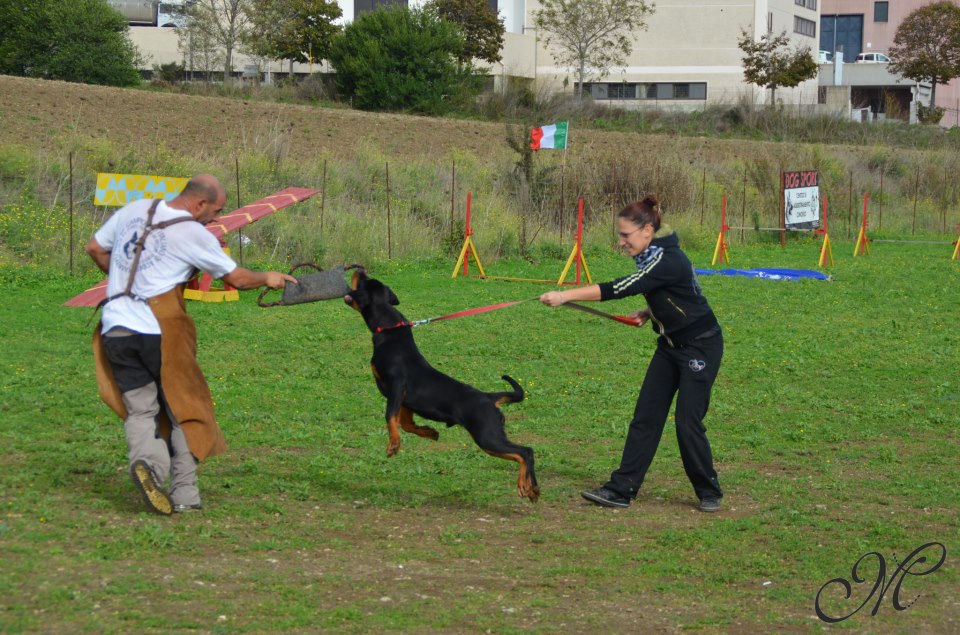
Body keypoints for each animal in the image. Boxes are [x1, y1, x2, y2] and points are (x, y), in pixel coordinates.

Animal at [344, 270, 540, 504]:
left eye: (363, 282)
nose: (360, 270)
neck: (388, 328)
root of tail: (489, 398)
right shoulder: (405, 398)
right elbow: (406, 423)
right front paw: (429, 432)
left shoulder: (396, 386)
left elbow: (390, 416)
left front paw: (393, 444)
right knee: (525, 452)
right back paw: (533, 489)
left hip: (487, 435)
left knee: (525, 451)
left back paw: (526, 486)